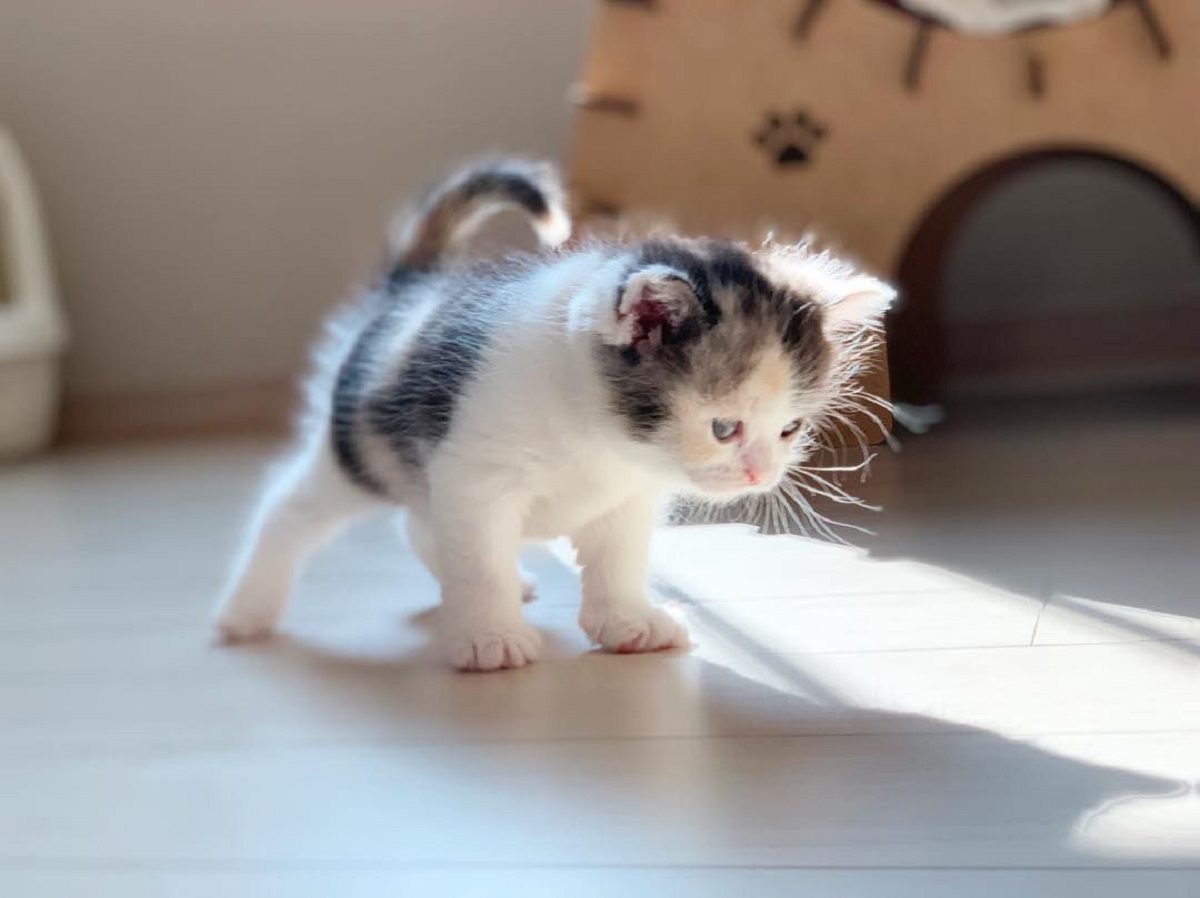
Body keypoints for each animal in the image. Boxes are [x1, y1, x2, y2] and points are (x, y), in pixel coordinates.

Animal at [213, 157, 892, 672]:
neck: (600, 441)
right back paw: (246, 612)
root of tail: (412, 290)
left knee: (418, 522)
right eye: (725, 428)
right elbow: (478, 558)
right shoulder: (475, 474)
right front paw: (489, 635)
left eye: (790, 429)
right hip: (363, 452)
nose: (759, 472)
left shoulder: (627, 497)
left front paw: (626, 621)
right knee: (289, 510)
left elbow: (618, 559)